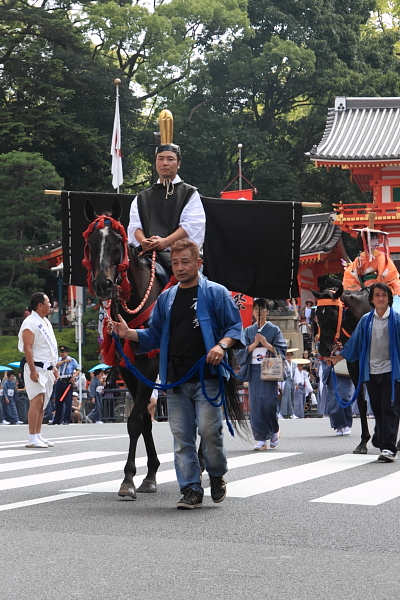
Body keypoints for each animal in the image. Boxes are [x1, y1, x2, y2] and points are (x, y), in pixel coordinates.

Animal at [84, 199, 164, 500]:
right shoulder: (129, 369)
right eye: (91, 244)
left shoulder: (151, 364)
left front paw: (129, 479)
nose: (102, 285)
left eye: (117, 242)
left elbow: (135, 420)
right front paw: (147, 475)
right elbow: (143, 420)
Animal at [310, 288, 374, 452]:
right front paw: (363, 441)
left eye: (333, 313)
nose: (324, 349)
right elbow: (362, 401)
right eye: (318, 313)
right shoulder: (354, 363)